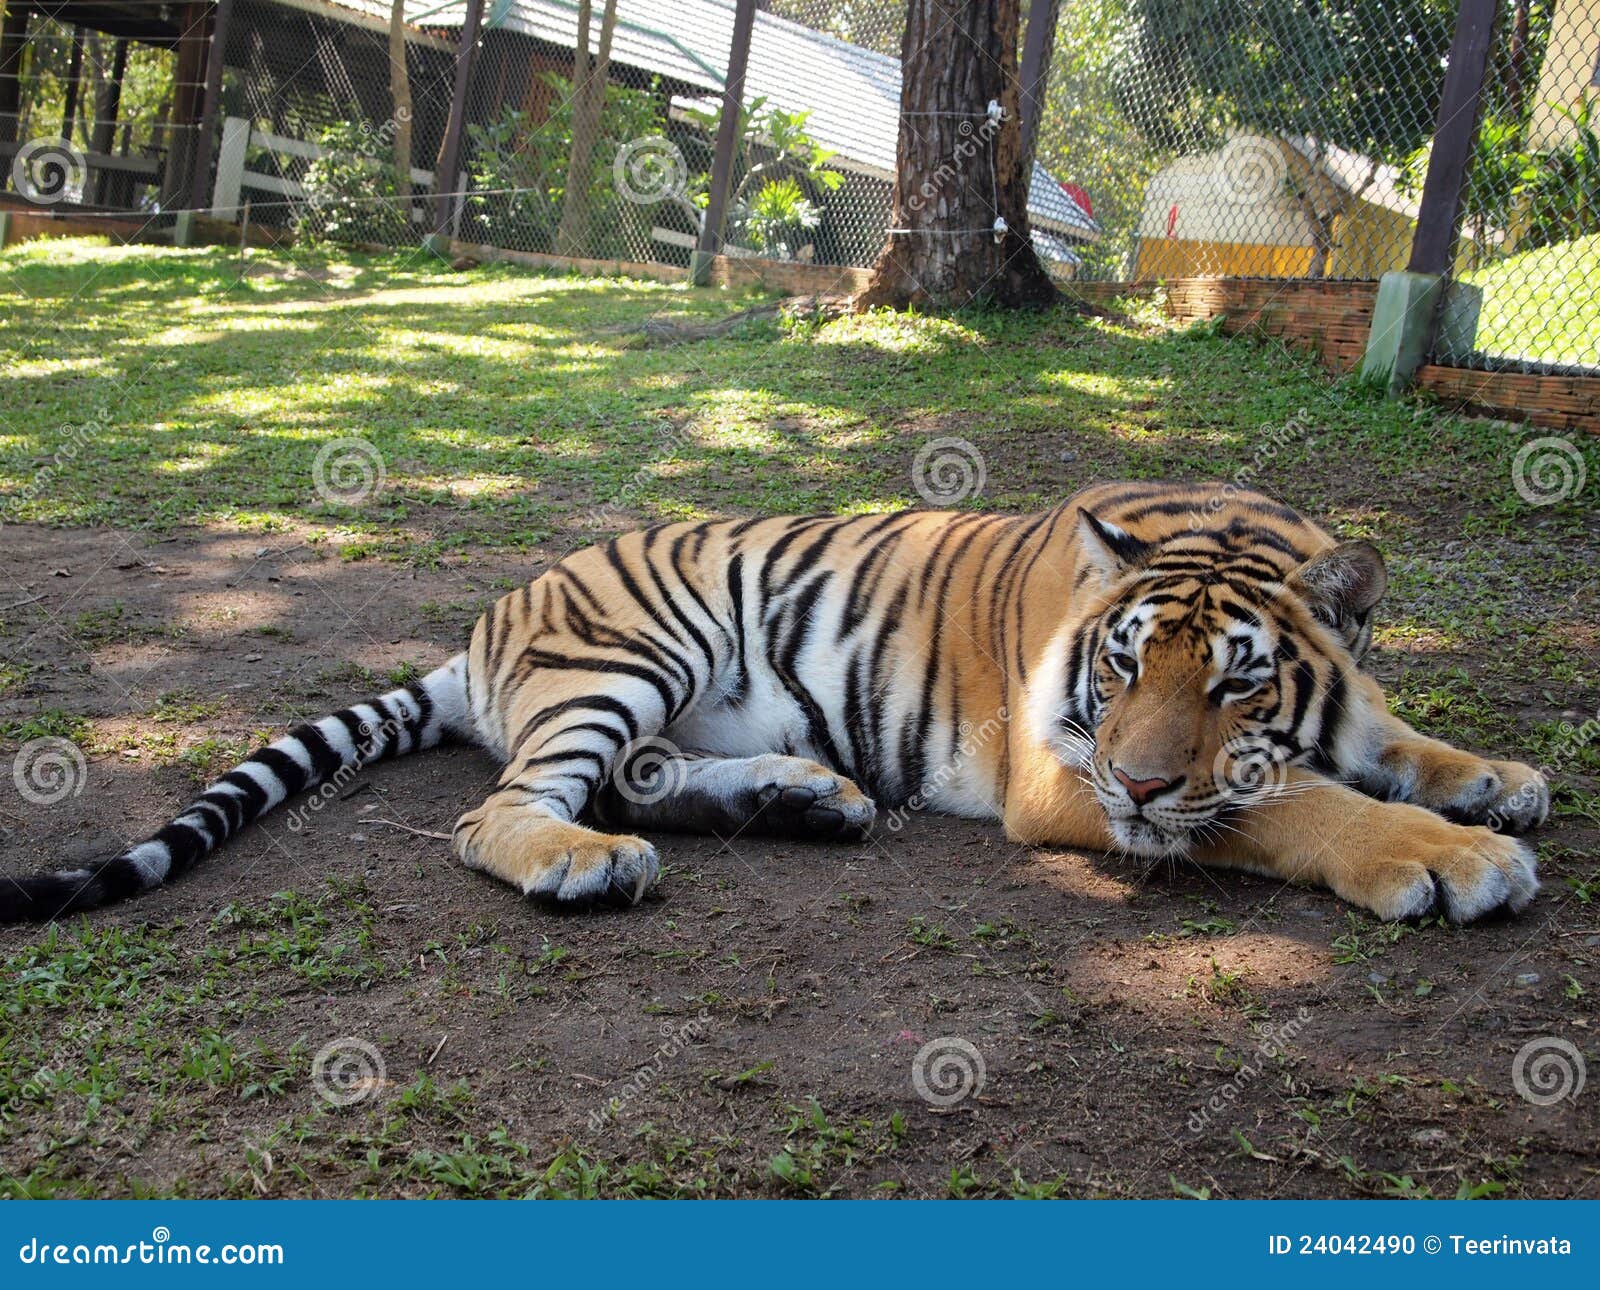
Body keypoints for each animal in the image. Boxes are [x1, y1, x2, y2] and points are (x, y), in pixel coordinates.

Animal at [0, 480, 1548, 921]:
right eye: (1118, 668)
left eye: (1236, 681)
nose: (1149, 778)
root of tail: (493, 617)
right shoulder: (1067, 775)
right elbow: (1296, 806)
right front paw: (1452, 858)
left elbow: (1379, 740)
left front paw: (1491, 780)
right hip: (638, 647)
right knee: (508, 809)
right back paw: (585, 864)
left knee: (639, 776)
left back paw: (805, 799)